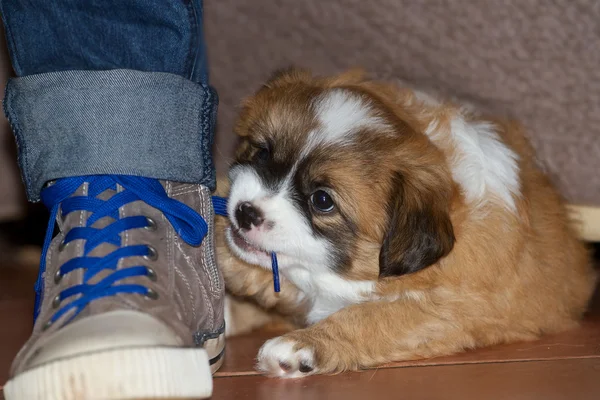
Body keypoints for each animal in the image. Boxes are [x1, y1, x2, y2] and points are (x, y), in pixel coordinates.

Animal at [214, 69, 596, 378]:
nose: (246, 213)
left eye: (322, 200)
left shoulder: (446, 311)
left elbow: (370, 317)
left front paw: (301, 347)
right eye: (262, 152)